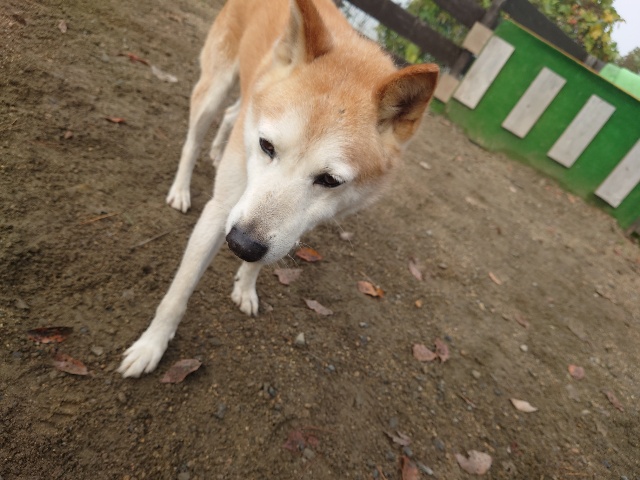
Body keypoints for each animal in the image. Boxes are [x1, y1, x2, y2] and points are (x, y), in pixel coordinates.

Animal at [118, 0, 438, 377]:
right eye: (266, 146)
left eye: (330, 181)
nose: (240, 245)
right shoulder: (223, 209)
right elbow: (177, 294)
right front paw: (151, 346)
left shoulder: (291, 227)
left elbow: (265, 256)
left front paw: (246, 285)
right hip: (214, 89)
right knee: (194, 139)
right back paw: (181, 188)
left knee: (233, 114)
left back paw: (216, 152)